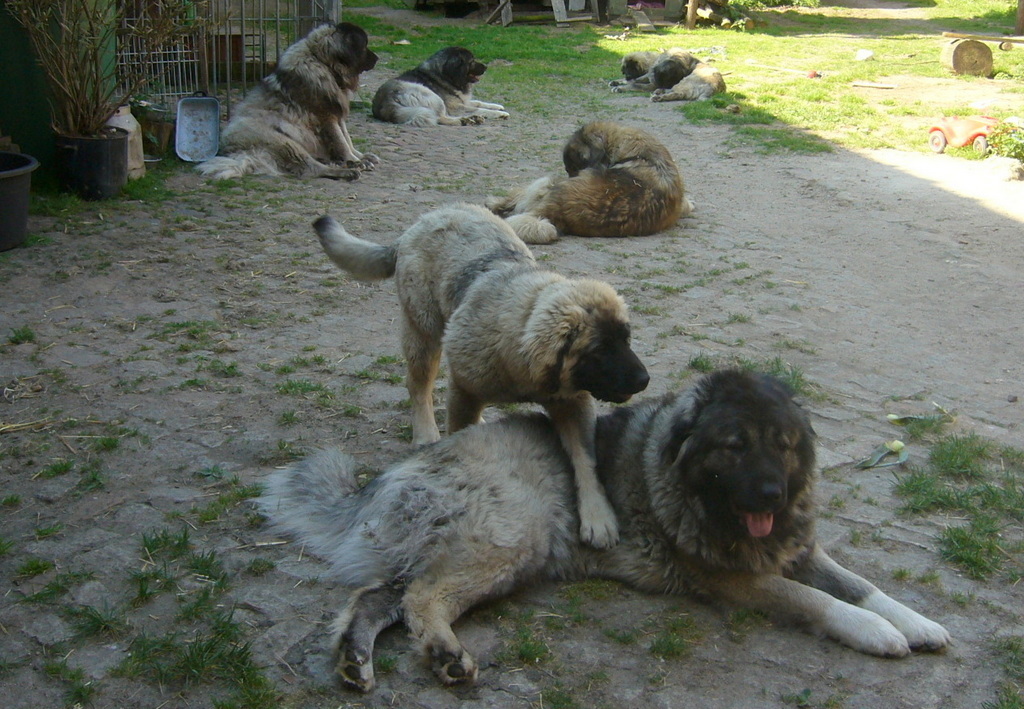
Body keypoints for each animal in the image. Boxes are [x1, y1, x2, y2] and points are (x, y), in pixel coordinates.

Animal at [197, 22, 379, 181]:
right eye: (364, 46)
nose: (377, 58)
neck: (323, 63)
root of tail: (239, 153)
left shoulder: (337, 114)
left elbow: (347, 138)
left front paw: (361, 156)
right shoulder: (326, 117)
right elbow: (341, 141)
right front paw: (355, 161)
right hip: (285, 143)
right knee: (311, 168)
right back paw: (346, 171)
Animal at [259, 369, 951, 691]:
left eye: (782, 444)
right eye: (734, 446)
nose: (772, 496)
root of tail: (391, 473)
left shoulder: (800, 547)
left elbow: (860, 584)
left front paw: (914, 621)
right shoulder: (737, 582)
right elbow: (815, 600)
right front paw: (876, 632)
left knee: (377, 599)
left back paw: (355, 661)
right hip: (512, 537)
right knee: (420, 598)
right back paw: (448, 655)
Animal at [312, 203, 649, 549]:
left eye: (626, 339)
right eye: (599, 350)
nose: (644, 380)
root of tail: (425, 219)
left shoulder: (572, 401)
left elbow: (586, 460)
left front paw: (598, 517)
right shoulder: (464, 390)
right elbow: (462, 441)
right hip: (424, 331)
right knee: (419, 385)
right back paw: (426, 432)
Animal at [371, 47, 509, 126]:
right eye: (472, 61)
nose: (486, 67)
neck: (446, 76)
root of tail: (386, 101)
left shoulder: (463, 100)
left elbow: (479, 103)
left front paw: (497, 106)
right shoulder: (455, 107)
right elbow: (479, 108)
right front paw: (500, 113)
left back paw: (472, 119)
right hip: (432, 96)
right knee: (441, 118)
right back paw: (464, 120)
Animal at [486, 121, 691, 243]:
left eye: (574, 169)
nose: (574, 176)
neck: (641, 154)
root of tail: (554, 210)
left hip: (545, 182)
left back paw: (493, 203)